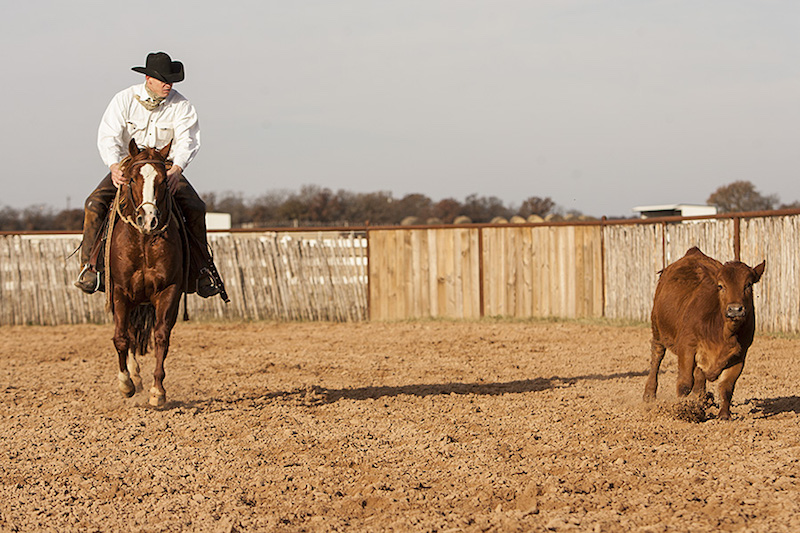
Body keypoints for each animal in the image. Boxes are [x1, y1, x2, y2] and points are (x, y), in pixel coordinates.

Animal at [108, 139, 185, 407]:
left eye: (163, 180)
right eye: (132, 179)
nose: (148, 219)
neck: (142, 242)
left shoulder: (168, 290)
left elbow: (161, 336)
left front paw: (157, 391)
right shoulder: (120, 292)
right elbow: (121, 338)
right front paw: (125, 384)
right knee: (129, 334)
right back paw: (133, 375)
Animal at [643, 247, 765, 420]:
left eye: (748, 285)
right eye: (721, 286)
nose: (735, 309)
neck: (723, 333)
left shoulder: (740, 356)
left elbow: (726, 387)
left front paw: (723, 415)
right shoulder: (687, 346)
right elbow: (685, 382)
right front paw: (683, 408)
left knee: (699, 377)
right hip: (658, 330)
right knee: (657, 357)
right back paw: (649, 394)